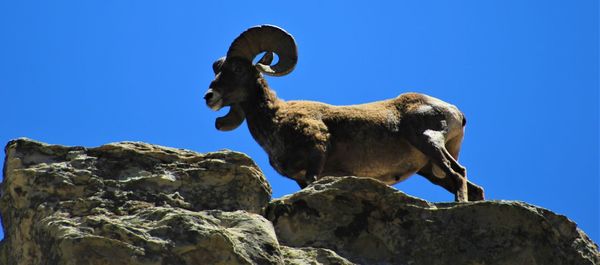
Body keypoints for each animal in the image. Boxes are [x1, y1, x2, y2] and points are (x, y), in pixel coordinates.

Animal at [204, 25, 486, 202]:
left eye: (238, 69)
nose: (209, 96)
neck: (276, 122)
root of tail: (455, 112)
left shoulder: (316, 158)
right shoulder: (300, 178)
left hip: (428, 140)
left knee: (458, 173)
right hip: (429, 169)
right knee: (474, 188)